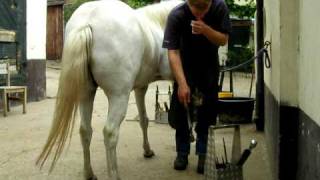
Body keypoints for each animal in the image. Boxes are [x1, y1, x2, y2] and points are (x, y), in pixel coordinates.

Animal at [36, 0, 182, 180]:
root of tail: (86, 21)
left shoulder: (141, 87)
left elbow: (143, 120)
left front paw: (147, 151)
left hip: (86, 94)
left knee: (85, 130)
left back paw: (89, 173)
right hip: (118, 97)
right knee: (110, 132)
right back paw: (113, 174)